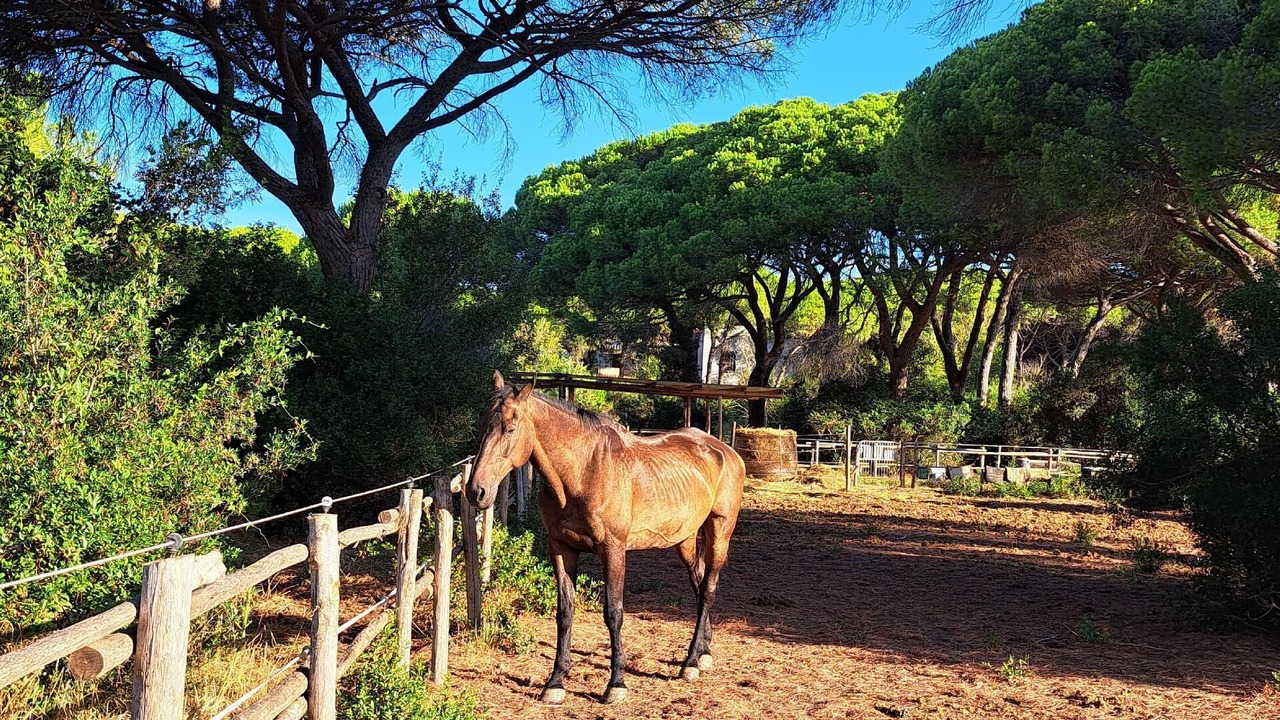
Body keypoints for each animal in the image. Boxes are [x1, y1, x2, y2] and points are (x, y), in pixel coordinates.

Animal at [464, 371, 746, 705]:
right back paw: (703, 651)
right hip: (686, 539)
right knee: (699, 584)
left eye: (510, 428)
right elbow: (565, 612)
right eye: (482, 425)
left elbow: (614, 613)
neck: (583, 471)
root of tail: (723, 451)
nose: (476, 491)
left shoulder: (613, 550)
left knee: (709, 588)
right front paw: (556, 682)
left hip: (719, 531)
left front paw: (616, 683)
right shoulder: (561, 548)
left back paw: (689, 663)